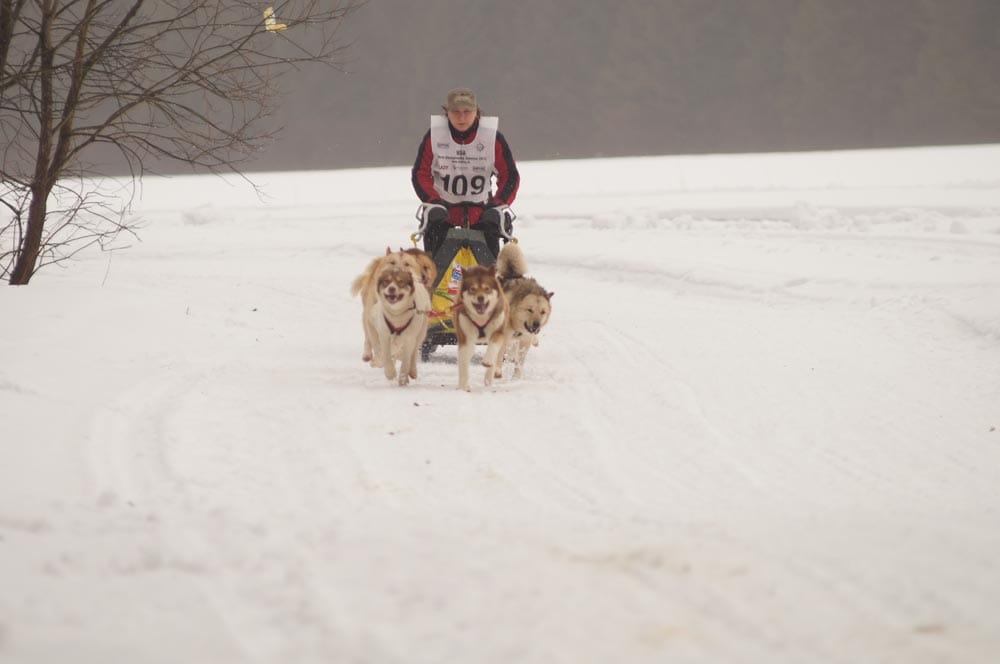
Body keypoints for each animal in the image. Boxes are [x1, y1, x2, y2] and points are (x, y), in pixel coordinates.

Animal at [495, 242, 553, 379]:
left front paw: (516, 378)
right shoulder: (503, 337)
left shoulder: (525, 340)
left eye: (542, 312)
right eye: (530, 310)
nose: (537, 324)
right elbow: (499, 356)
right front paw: (497, 373)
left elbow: (519, 362)